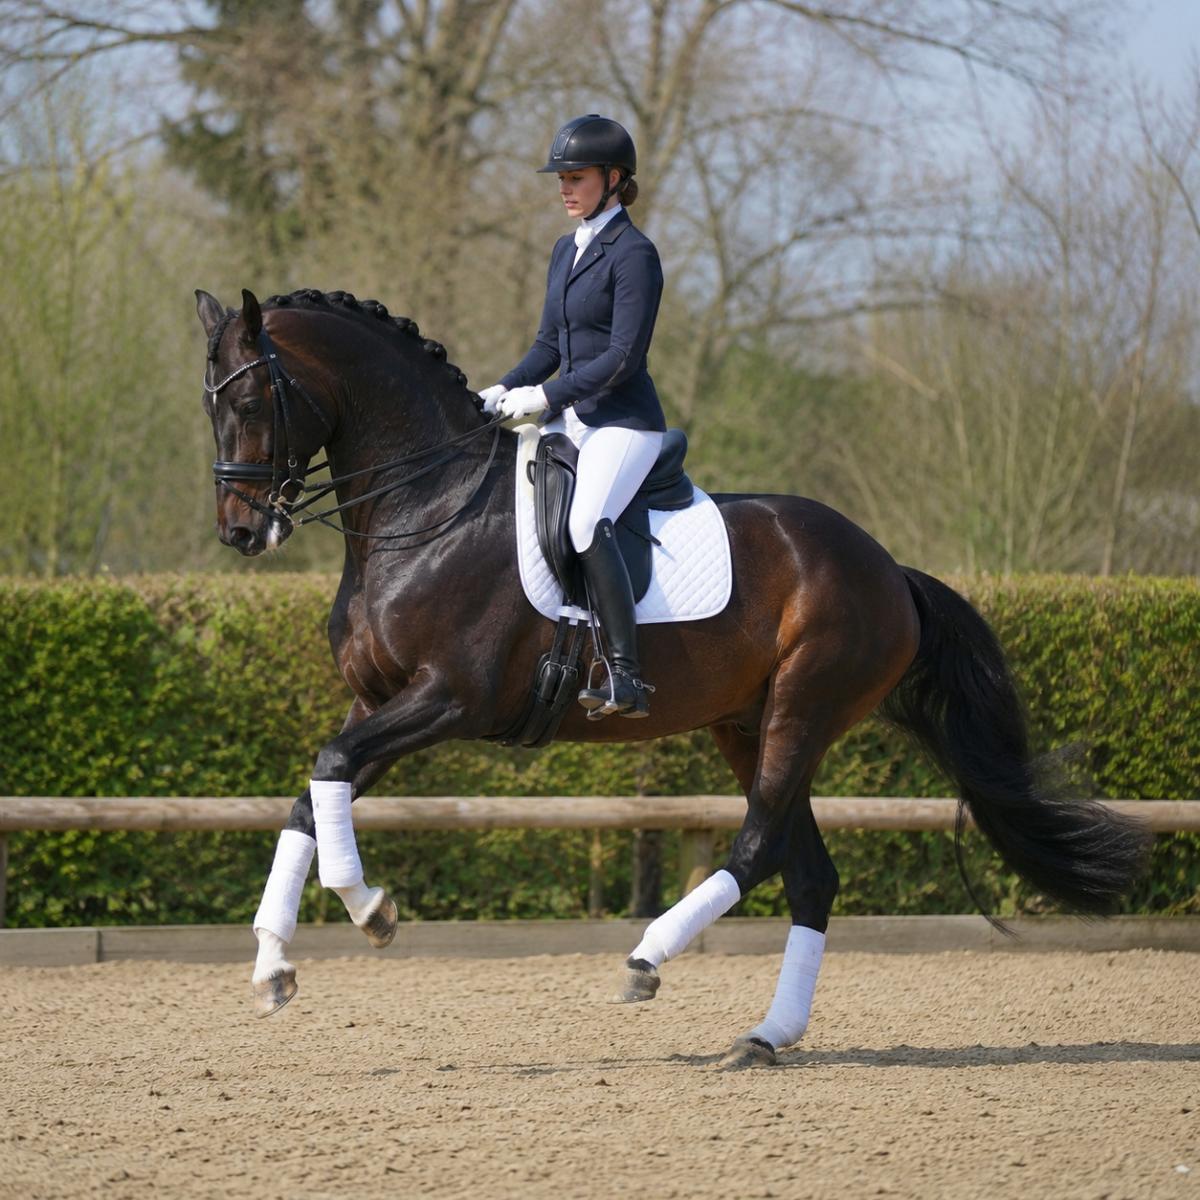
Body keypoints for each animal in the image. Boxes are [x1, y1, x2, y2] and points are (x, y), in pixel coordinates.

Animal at [195, 285, 1148, 1068]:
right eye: (212, 409)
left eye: (249, 400)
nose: (241, 532)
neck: (428, 506)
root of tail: (889, 568)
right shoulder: (381, 700)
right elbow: (314, 792)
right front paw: (275, 965)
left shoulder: (449, 698)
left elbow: (329, 770)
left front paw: (372, 911)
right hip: (746, 724)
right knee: (808, 873)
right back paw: (765, 1037)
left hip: (802, 707)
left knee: (758, 847)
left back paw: (648, 959)